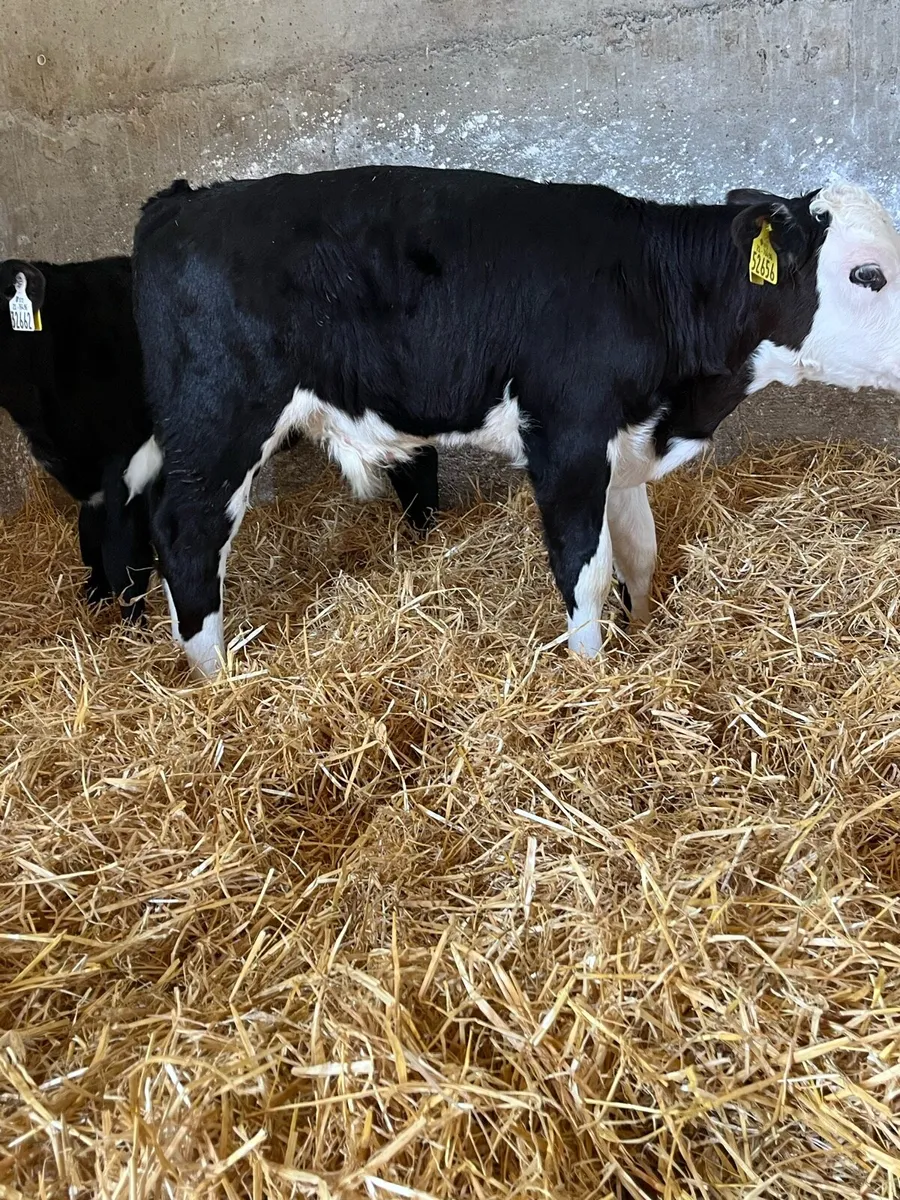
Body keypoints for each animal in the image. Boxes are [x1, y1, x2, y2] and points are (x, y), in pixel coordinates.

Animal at [131, 168, 900, 677]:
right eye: (868, 274)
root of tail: (181, 203)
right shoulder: (566, 440)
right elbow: (585, 573)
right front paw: (594, 681)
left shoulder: (623, 448)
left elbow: (641, 552)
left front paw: (642, 636)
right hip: (221, 418)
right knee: (187, 534)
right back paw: (217, 681)